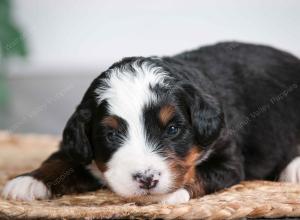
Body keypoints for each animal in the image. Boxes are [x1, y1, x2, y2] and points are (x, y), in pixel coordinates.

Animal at [2, 41, 300, 205]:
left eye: (173, 129)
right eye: (111, 135)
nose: (146, 179)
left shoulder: (227, 158)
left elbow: (196, 173)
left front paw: (167, 193)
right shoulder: (77, 146)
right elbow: (61, 159)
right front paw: (29, 181)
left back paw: (293, 169)